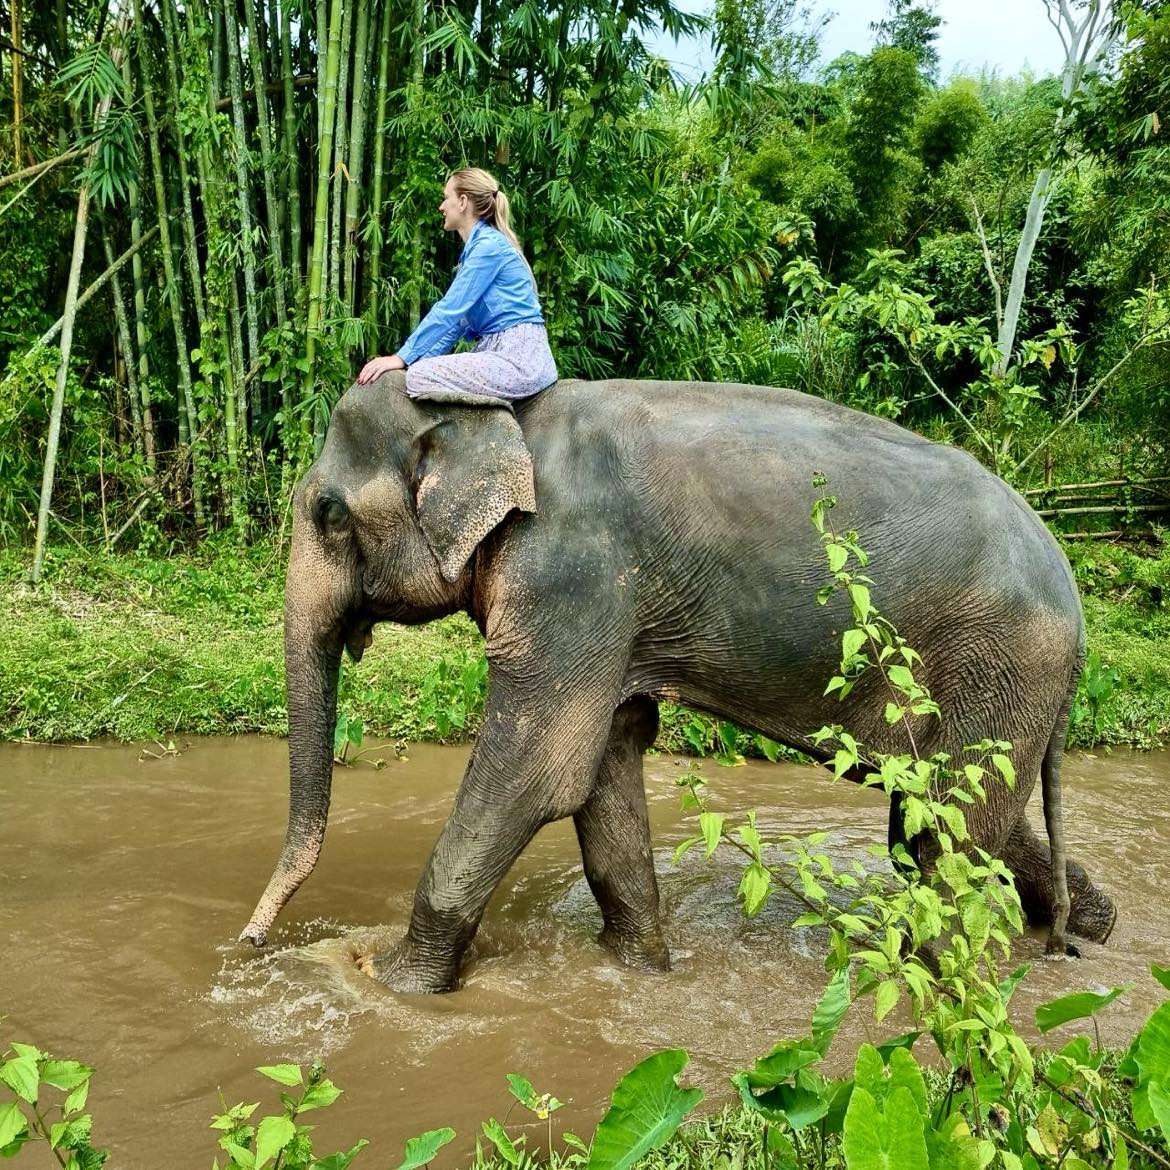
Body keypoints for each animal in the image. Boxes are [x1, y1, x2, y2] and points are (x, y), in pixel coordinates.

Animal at [237, 372, 1113, 987]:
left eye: (329, 515)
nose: (248, 945)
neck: (500, 416)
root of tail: (1071, 588)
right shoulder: (605, 610)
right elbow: (604, 767)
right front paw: (638, 971)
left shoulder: (572, 576)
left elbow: (537, 772)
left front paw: (388, 985)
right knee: (935, 814)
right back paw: (1087, 928)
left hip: (1000, 660)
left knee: (942, 833)